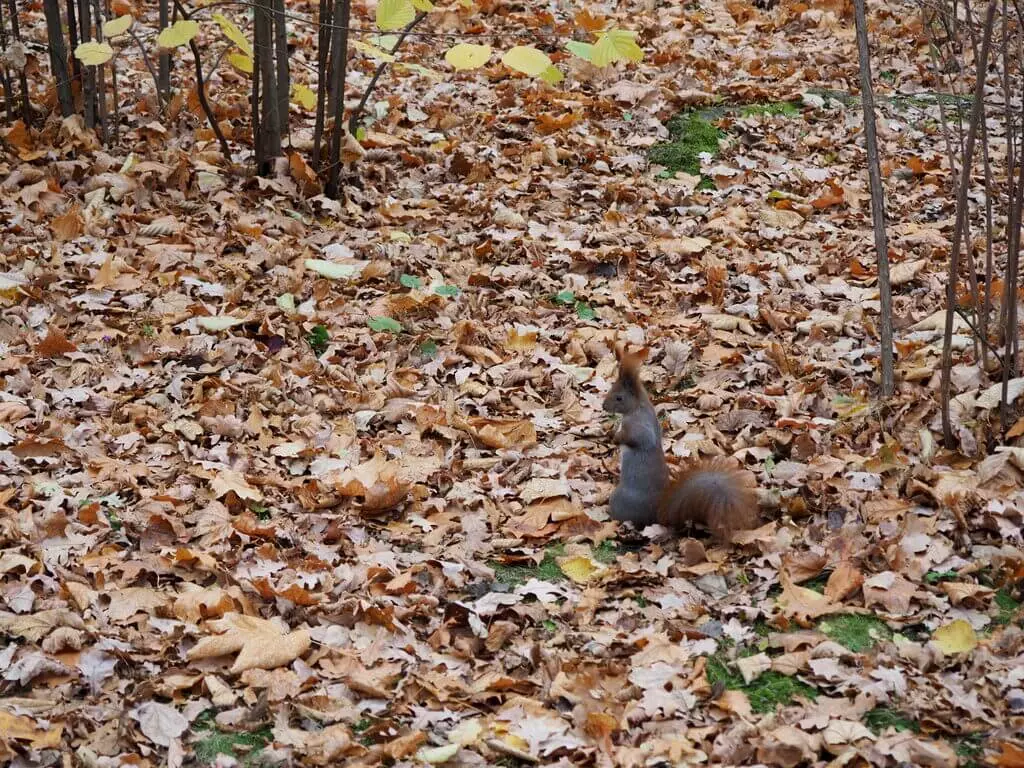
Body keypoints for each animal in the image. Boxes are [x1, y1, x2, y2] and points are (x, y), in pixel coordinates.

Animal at [598, 342, 761, 540]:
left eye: (619, 397)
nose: (604, 406)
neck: (636, 408)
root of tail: (658, 515)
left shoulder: (640, 425)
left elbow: (637, 438)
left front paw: (615, 438)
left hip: (620, 501)